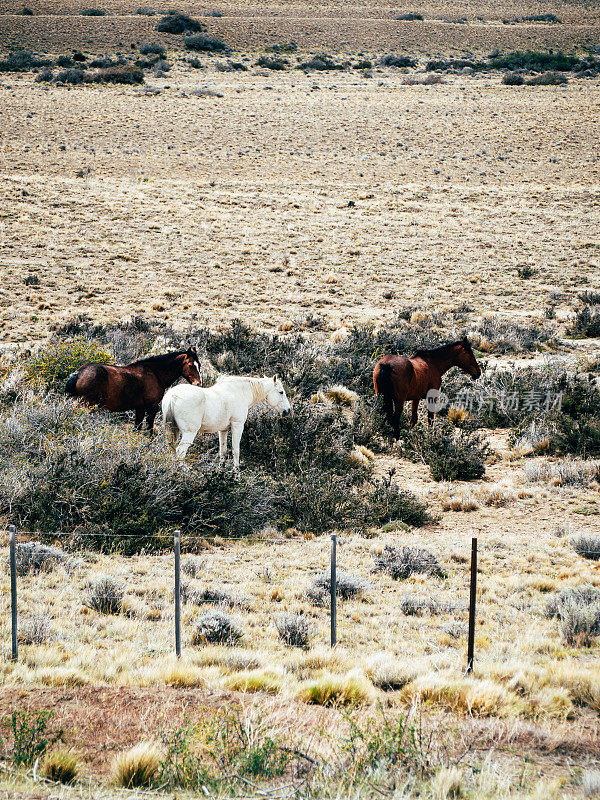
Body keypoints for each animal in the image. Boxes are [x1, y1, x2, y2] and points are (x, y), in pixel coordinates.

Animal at [65, 346, 202, 434]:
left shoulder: (139, 408)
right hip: (87, 405)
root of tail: (79, 372)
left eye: (199, 365)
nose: (198, 383)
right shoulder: (152, 407)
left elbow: (137, 428)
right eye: (190, 365)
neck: (154, 373)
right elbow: (149, 428)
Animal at [159, 376, 290, 468]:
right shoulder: (237, 425)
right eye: (281, 392)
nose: (287, 410)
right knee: (180, 451)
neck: (239, 392)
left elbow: (223, 451)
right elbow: (236, 451)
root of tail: (172, 396)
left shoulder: (223, 430)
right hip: (189, 433)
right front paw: (237, 476)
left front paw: (221, 472)